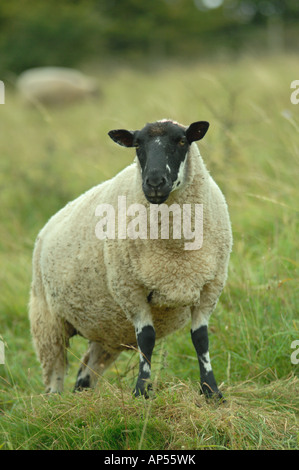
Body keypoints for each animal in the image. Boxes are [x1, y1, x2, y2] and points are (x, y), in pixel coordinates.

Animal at [29, 118, 233, 400]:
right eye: (137, 144)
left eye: (182, 141)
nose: (155, 182)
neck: (175, 249)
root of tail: (47, 225)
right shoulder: (130, 289)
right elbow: (146, 338)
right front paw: (141, 392)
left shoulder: (209, 288)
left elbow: (200, 339)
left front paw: (211, 392)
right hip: (47, 319)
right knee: (55, 370)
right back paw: (55, 402)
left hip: (105, 329)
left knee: (86, 369)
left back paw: (83, 395)